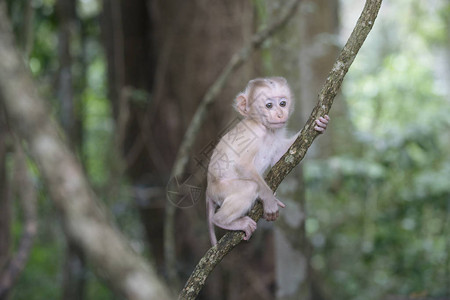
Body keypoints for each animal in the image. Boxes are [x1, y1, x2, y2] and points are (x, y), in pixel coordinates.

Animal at [206, 77, 328, 246]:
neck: (264, 128)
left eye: (282, 103)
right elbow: (242, 165)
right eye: (269, 105)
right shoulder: (253, 135)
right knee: (250, 187)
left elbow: (285, 155)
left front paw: (321, 125)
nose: (280, 114)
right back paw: (221, 220)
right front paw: (269, 201)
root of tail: (208, 191)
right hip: (220, 189)